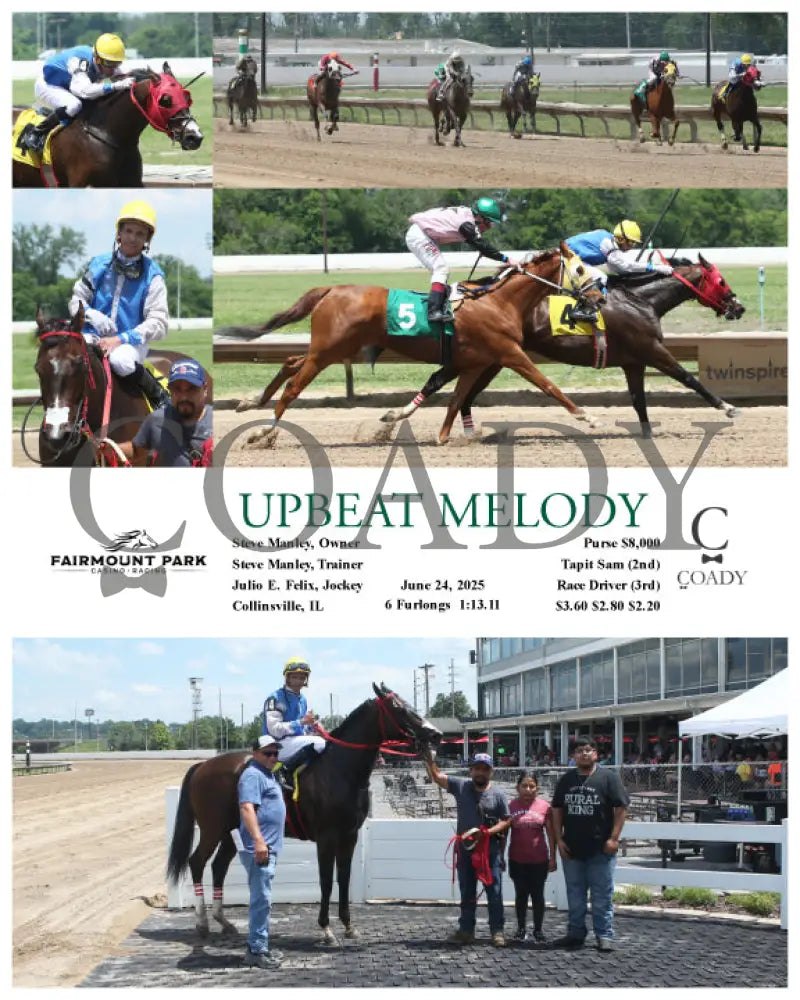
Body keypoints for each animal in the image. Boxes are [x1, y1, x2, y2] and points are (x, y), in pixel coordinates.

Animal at [166, 683, 442, 943]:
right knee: (197, 862)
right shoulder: (326, 838)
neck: (340, 769)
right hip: (212, 829)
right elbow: (326, 880)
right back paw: (202, 923)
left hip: (230, 832)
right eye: (398, 707)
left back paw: (223, 921)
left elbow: (344, 877)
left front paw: (348, 925)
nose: (435, 733)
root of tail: (203, 765)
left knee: (219, 866)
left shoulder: (349, 836)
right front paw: (327, 929)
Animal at [223, 246, 606, 447]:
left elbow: (453, 397)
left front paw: (440, 435)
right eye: (580, 268)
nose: (601, 297)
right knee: (292, 388)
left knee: (290, 361)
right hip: (327, 352)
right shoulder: (510, 354)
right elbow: (549, 386)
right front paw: (588, 418)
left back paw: (250, 402)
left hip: (333, 348)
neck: (497, 301)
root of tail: (331, 289)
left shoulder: (474, 362)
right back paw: (264, 432)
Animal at [378, 255, 745, 442]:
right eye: (722, 281)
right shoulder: (653, 351)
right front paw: (728, 408)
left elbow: (639, 400)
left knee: (450, 385)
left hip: (490, 357)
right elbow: (689, 379)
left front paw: (645, 433)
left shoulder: (634, 363)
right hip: (495, 355)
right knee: (452, 385)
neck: (642, 300)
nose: (738, 307)